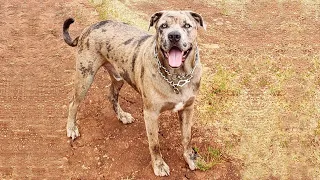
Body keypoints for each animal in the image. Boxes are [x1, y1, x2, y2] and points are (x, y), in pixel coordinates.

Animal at [63, 10, 205, 176]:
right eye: (163, 26)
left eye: (187, 25)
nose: (174, 36)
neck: (177, 77)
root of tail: (89, 28)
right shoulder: (151, 114)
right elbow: (154, 143)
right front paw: (159, 165)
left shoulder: (188, 109)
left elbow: (187, 137)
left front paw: (190, 157)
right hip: (85, 76)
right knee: (73, 103)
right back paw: (72, 128)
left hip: (118, 77)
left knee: (112, 95)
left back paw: (122, 115)